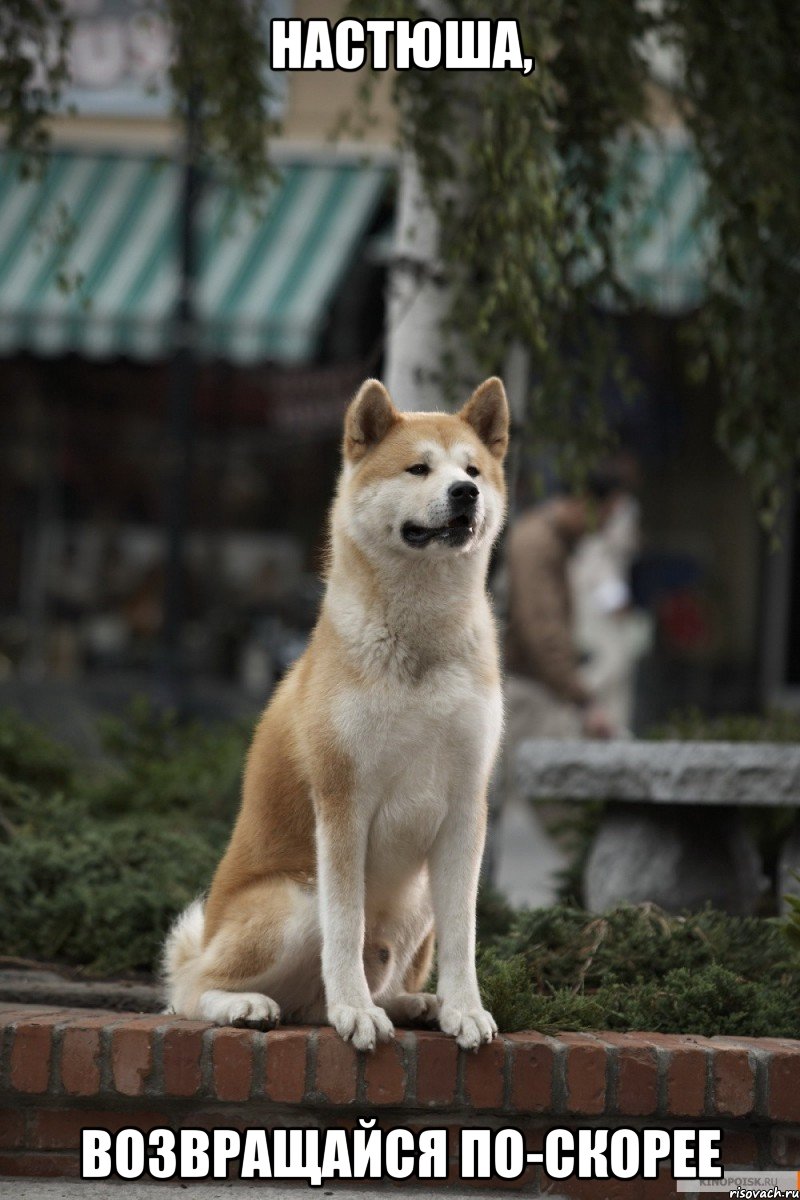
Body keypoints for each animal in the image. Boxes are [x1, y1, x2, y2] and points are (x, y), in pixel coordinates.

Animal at [165, 376, 510, 1051]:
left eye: (473, 470)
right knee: (189, 990)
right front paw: (355, 1011)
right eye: (418, 468)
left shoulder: (466, 806)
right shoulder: (343, 801)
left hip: (417, 900)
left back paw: (415, 1004)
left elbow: (465, 935)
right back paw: (250, 1005)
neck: (420, 644)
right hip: (296, 900)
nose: (466, 493)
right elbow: (346, 928)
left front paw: (464, 1008)